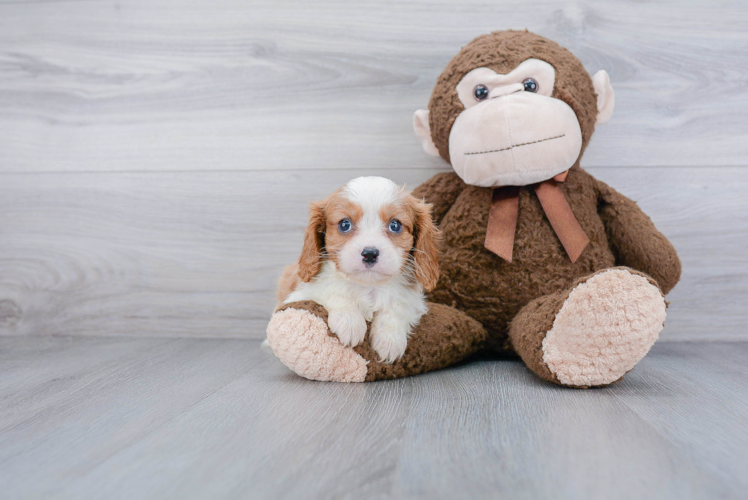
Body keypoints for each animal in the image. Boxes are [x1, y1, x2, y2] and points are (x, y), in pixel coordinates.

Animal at [280, 177, 442, 364]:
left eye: (395, 225)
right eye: (345, 224)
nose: (370, 253)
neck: (368, 286)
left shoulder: (412, 299)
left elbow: (398, 305)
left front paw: (390, 338)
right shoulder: (301, 293)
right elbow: (331, 290)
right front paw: (350, 322)